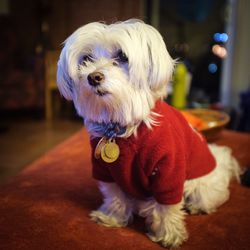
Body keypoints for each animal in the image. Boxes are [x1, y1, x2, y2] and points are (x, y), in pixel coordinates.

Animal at [57, 19, 240, 248]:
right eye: (87, 59)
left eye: (122, 56)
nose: (93, 77)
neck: (122, 129)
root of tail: (219, 162)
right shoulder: (105, 170)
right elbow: (115, 196)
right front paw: (113, 217)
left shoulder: (169, 172)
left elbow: (168, 208)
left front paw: (169, 235)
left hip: (202, 187)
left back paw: (198, 207)